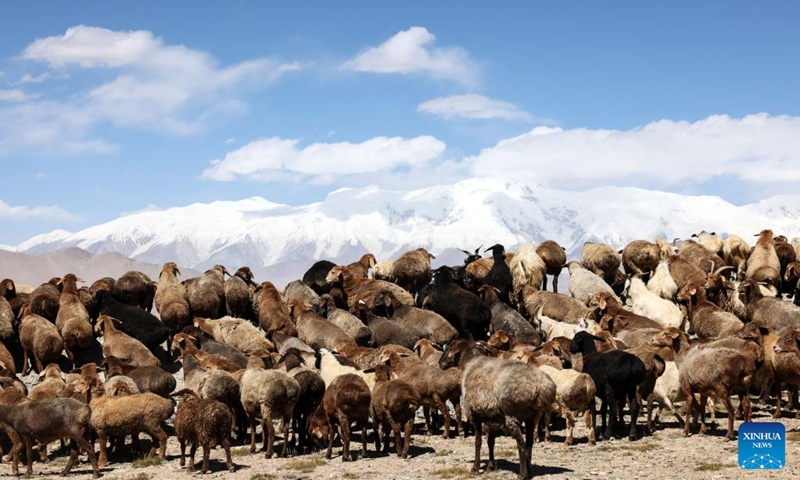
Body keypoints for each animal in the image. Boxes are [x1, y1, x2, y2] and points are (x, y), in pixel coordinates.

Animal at [439, 339, 556, 479]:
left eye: (450, 347)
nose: (440, 363)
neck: (469, 363)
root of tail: (538, 384)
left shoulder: (473, 415)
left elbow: (478, 442)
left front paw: (475, 468)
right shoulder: (493, 418)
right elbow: (491, 442)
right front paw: (490, 467)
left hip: (511, 415)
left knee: (521, 443)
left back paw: (522, 474)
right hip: (532, 417)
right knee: (529, 444)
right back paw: (529, 471)